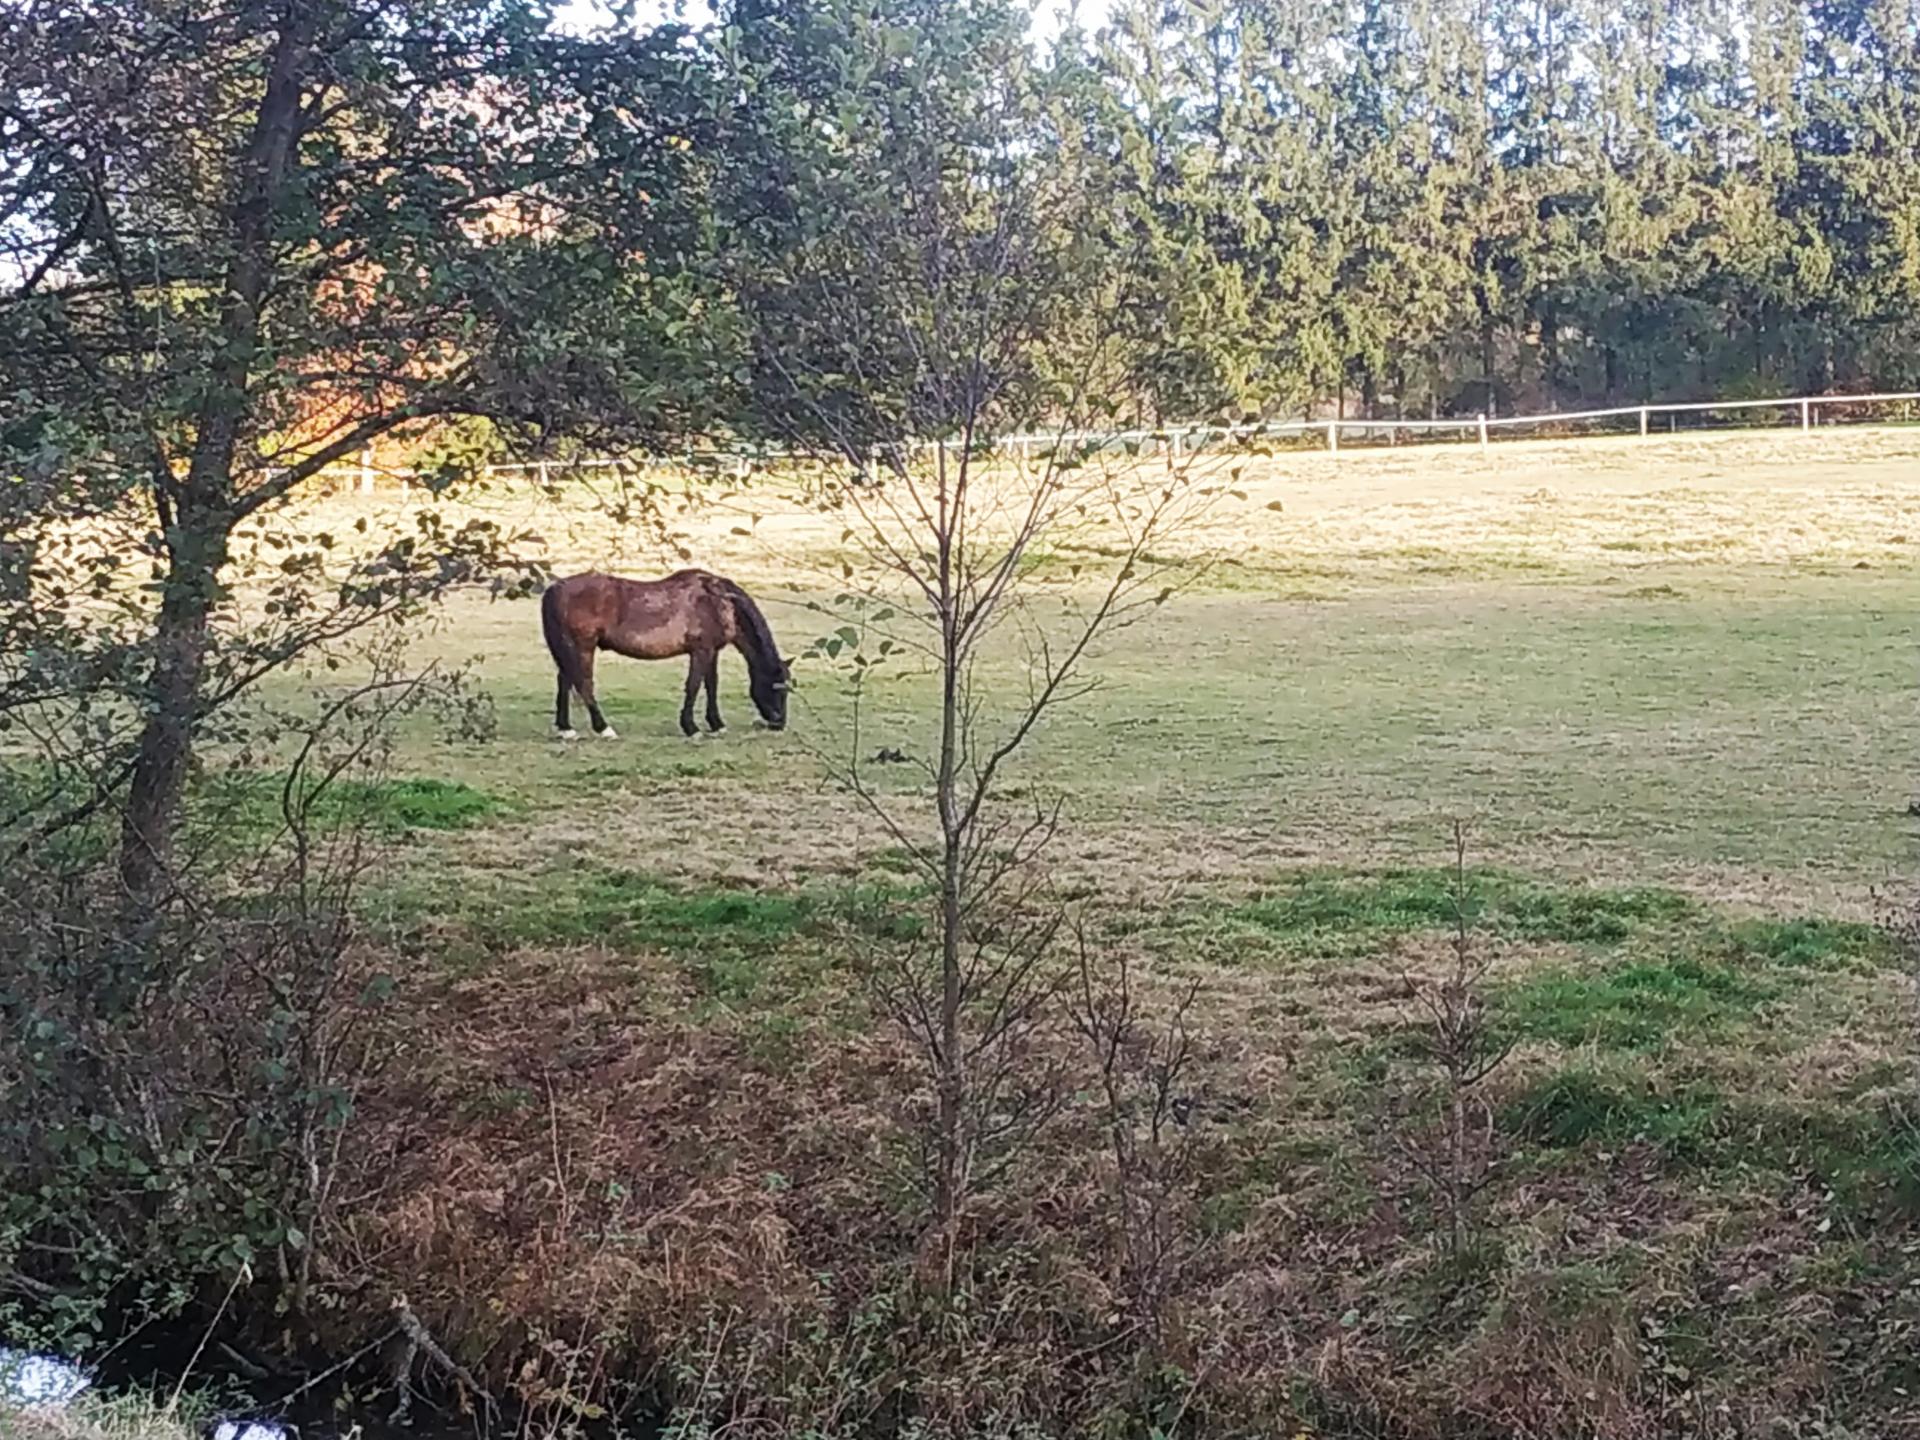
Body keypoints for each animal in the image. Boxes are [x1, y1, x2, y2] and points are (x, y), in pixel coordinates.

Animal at [540, 569, 791, 739]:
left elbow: (711, 685)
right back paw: (604, 728)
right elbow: (694, 686)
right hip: (582, 647)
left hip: (569, 650)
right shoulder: (701, 651)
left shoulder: (712, 651)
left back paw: (566, 729)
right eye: (777, 688)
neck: (719, 601)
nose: (779, 723)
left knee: (565, 682)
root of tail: (556, 587)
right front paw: (691, 728)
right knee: (584, 685)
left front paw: (716, 724)